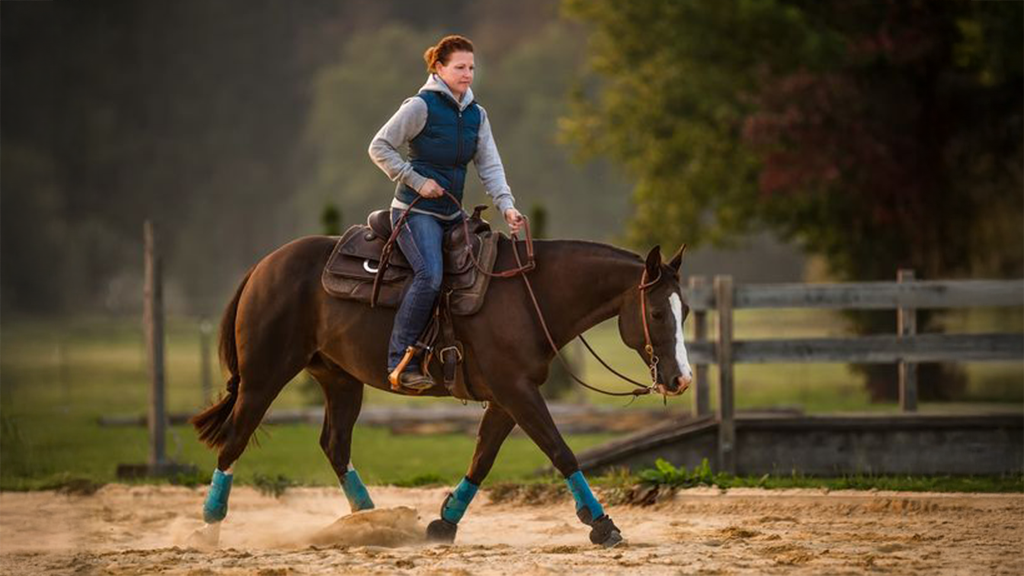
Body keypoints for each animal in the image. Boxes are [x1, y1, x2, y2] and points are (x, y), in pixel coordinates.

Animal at [188, 231, 693, 548]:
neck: (529, 297)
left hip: (340, 380)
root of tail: (263, 266)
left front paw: (443, 524)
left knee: (335, 445)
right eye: (657, 312)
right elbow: (561, 451)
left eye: (684, 310)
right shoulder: (516, 391)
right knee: (235, 441)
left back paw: (376, 523)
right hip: (264, 376)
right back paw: (209, 530)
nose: (680, 379)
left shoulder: (507, 397)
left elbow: (482, 459)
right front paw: (603, 525)